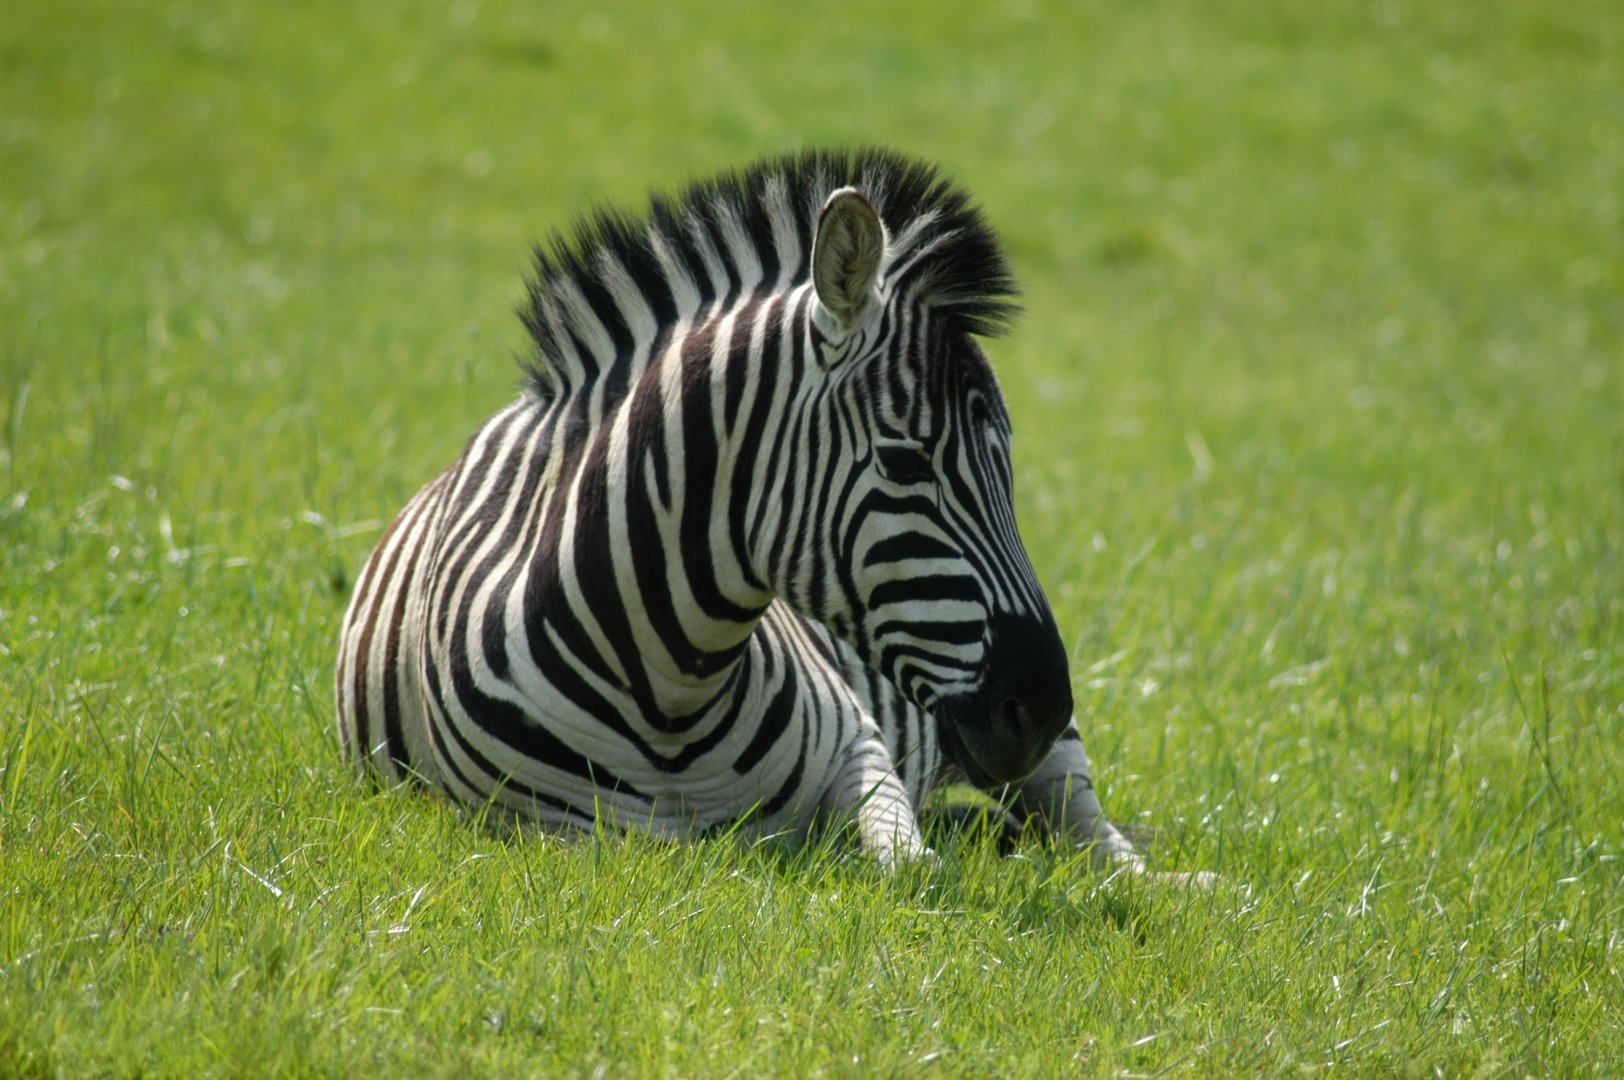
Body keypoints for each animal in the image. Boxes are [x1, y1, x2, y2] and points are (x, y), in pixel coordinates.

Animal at [335, 147, 1148, 869]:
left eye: (1008, 470)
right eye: (904, 462)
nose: (1040, 705)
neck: (671, 697)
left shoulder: (863, 746)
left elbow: (911, 862)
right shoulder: (548, 832)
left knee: (1092, 839)